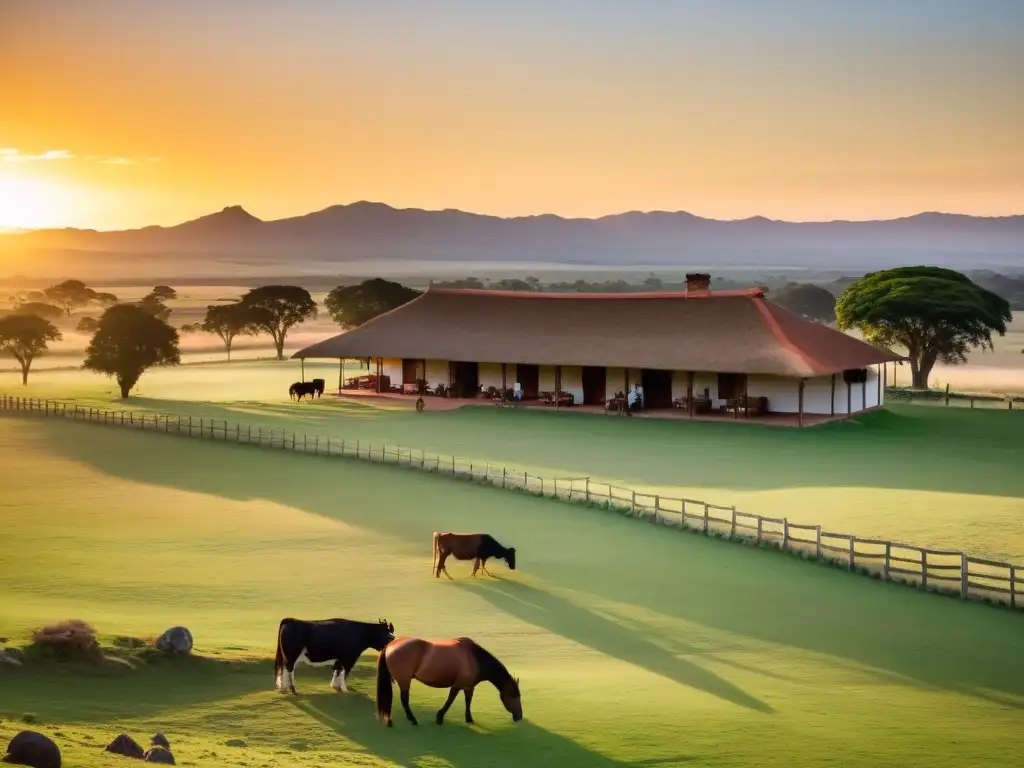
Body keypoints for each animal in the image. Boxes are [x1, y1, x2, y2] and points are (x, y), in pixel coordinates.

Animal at [374, 638, 520, 729]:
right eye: (514, 696)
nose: (519, 716)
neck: (475, 658)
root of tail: (390, 645)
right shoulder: (457, 685)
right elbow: (450, 700)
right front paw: (439, 717)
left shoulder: (468, 687)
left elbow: (468, 701)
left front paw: (469, 718)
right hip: (404, 681)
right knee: (404, 700)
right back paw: (412, 720)